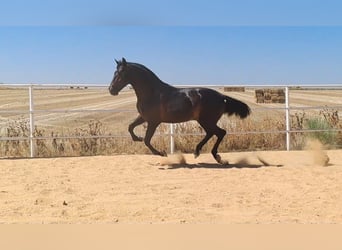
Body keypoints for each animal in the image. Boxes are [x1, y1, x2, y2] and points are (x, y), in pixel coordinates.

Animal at [109, 58, 251, 164]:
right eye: (114, 73)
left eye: (121, 73)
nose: (111, 90)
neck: (152, 93)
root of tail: (222, 96)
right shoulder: (144, 117)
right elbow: (130, 127)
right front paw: (137, 138)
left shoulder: (153, 121)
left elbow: (147, 140)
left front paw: (162, 153)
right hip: (205, 121)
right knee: (212, 133)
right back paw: (198, 152)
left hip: (207, 120)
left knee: (220, 132)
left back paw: (216, 157)